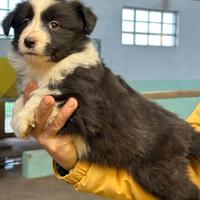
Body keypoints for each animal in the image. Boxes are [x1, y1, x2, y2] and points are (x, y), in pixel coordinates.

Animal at [2, 0, 200, 199]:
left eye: (54, 25)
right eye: (24, 22)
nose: (28, 41)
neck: (46, 67)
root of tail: (186, 130)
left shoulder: (89, 109)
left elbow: (44, 92)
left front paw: (20, 121)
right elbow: (22, 98)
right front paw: (18, 115)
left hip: (160, 170)